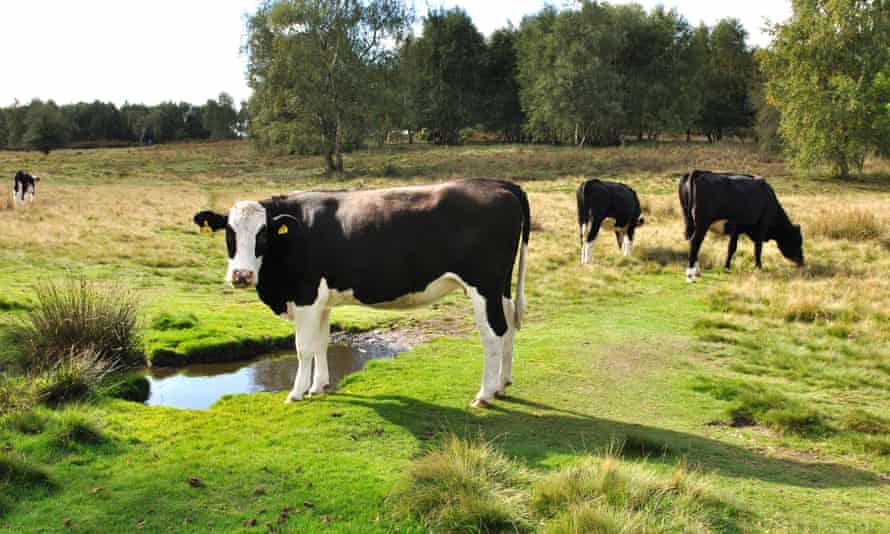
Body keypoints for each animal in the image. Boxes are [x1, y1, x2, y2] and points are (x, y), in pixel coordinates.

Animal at [193, 180, 528, 410]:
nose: (241, 275)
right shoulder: (321, 301)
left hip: (483, 286)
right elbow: (322, 342)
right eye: (229, 233)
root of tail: (496, 183)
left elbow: (303, 347)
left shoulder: (305, 296)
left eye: (262, 234)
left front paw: (297, 393)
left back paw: (484, 395)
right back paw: (501, 385)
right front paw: (319, 386)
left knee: (493, 333)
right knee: (509, 326)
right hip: (501, 287)